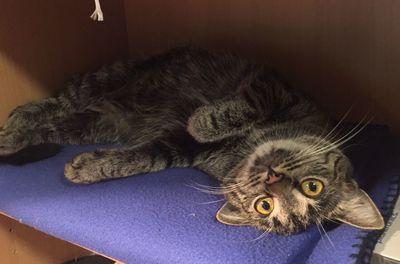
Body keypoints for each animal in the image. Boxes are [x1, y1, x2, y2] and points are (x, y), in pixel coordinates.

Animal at [1, 46, 386, 234]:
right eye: (313, 187)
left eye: (264, 206)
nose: (271, 178)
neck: (242, 147)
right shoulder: (274, 88)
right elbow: (243, 106)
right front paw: (203, 121)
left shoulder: (176, 148)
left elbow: (139, 159)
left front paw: (89, 168)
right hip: (103, 80)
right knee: (53, 104)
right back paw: (14, 124)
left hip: (97, 122)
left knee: (55, 123)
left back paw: (14, 136)